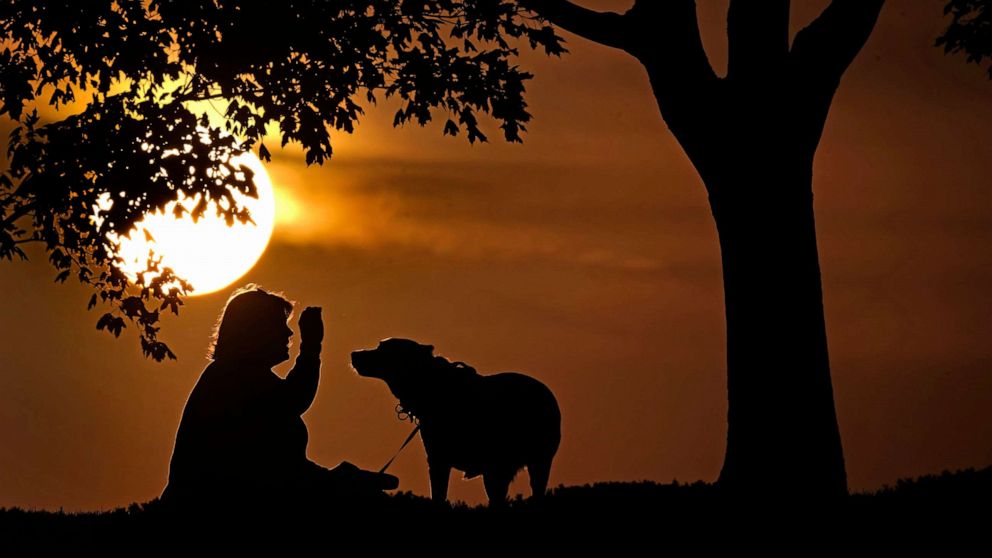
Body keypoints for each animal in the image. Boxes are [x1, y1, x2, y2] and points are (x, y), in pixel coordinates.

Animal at [352, 340, 560, 506]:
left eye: (382, 348)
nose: (354, 353)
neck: (430, 383)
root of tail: (546, 394)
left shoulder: (446, 461)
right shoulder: (439, 459)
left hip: (532, 461)